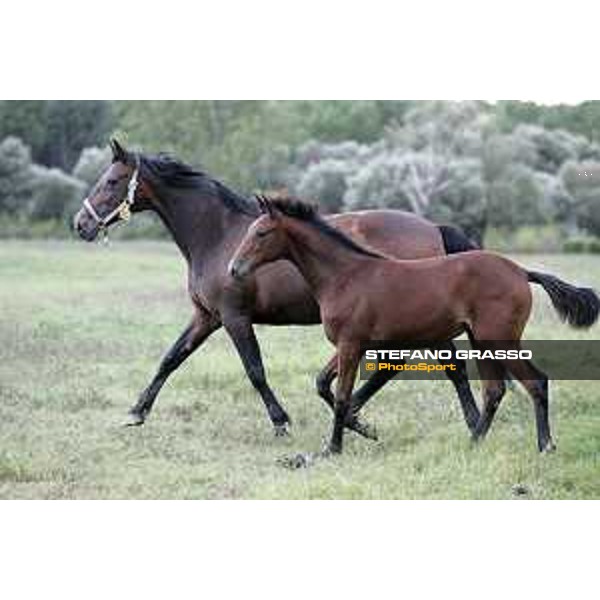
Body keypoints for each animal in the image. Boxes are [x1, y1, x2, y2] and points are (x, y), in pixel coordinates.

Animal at [227, 197, 596, 454]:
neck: (345, 276)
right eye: (247, 232)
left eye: (261, 233)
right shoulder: (351, 344)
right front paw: (363, 428)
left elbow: (343, 396)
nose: (233, 269)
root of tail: (521, 271)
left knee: (536, 383)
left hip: (499, 339)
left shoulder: (350, 344)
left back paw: (544, 445)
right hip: (483, 341)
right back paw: (474, 442)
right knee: (495, 390)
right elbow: (323, 383)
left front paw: (333, 447)